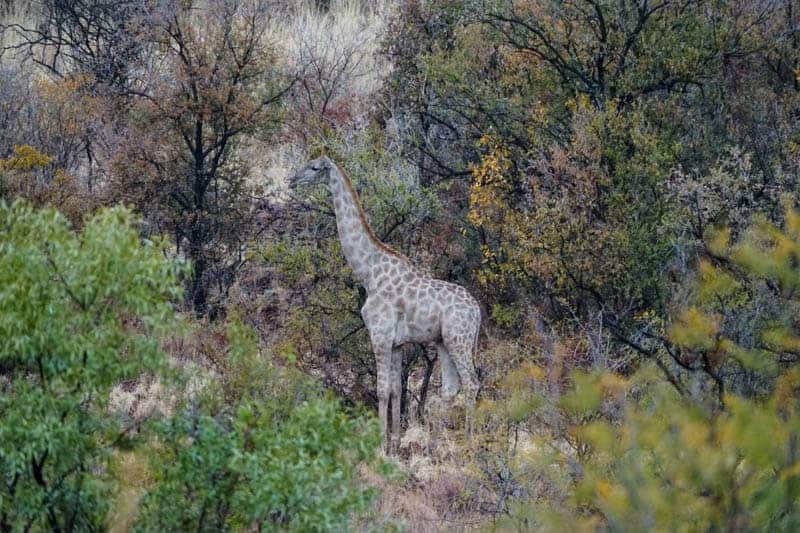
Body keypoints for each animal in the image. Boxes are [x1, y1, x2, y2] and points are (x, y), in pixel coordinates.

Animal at [292, 155, 482, 454]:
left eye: (314, 167)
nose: (292, 180)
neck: (369, 272)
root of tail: (478, 311)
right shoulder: (397, 343)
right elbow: (395, 389)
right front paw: (395, 442)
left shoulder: (379, 335)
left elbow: (381, 389)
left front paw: (380, 445)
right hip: (443, 341)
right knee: (451, 387)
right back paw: (434, 446)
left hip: (458, 339)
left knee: (472, 383)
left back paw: (470, 444)